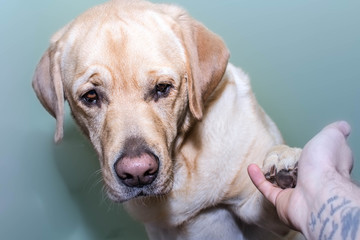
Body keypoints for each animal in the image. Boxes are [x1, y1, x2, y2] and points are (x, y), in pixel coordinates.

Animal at [33, 0, 304, 239]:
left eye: (162, 88)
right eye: (90, 96)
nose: (137, 172)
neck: (184, 163)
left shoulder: (266, 218)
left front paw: (284, 162)